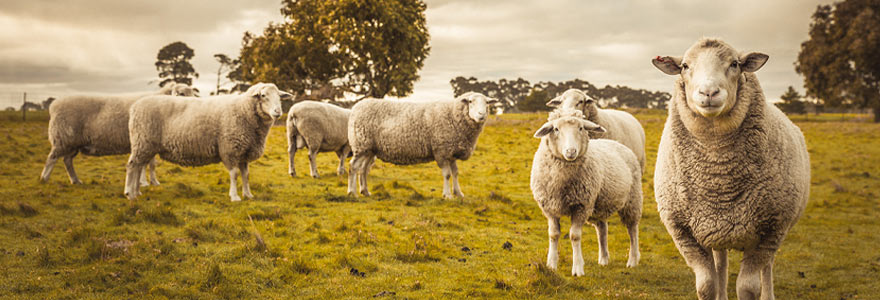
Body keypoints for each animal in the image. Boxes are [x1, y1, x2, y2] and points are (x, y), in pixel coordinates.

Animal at [39, 82, 196, 185]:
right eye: (181, 93)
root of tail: (53, 105)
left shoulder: (149, 142)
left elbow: (151, 164)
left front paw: (153, 182)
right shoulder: (144, 140)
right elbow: (145, 164)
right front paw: (144, 182)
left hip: (73, 142)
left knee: (67, 161)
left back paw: (75, 180)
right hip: (62, 138)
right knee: (51, 158)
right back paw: (44, 179)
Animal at [122, 82, 292, 202]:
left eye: (279, 96)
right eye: (263, 95)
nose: (278, 111)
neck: (244, 110)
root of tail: (135, 106)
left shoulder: (244, 152)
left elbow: (246, 175)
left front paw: (248, 194)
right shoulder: (230, 149)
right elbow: (234, 174)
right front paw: (235, 196)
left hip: (145, 145)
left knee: (138, 167)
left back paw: (137, 192)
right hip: (143, 142)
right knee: (132, 166)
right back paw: (130, 194)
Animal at [346, 92, 496, 198]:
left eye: (487, 102)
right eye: (470, 101)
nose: (482, 114)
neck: (453, 115)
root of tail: (356, 107)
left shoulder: (451, 152)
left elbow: (455, 173)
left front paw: (458, 193)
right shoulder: (441, 151)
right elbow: (447, 174)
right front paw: (447, 195)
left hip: (369, 149)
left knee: (363, 169)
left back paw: (365, 191)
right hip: (361, 145)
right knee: (353, 166)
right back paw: (352, 192)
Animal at [528, 109, 640, 276]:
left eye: (581, 128)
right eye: (556, 129)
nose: (571, 151)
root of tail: (617, 143)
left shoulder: (581, 206)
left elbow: (575, 236)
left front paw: (578, 268)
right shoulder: (549, 208)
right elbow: (553, 234)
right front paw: (551, 265)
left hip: (632, 200)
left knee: (632, 230)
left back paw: (632, 260)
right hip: (599, 204)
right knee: (602, 229)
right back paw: (604, 259)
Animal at [648, 37, 808, 300]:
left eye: (735, 64)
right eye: (684, 66)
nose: (709, 92)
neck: (718, 178)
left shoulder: (770, 230)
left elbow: (747, 287)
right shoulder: (684, 233)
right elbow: (706, 285)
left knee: (768, 266)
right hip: (717, 229)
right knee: (721, 263)